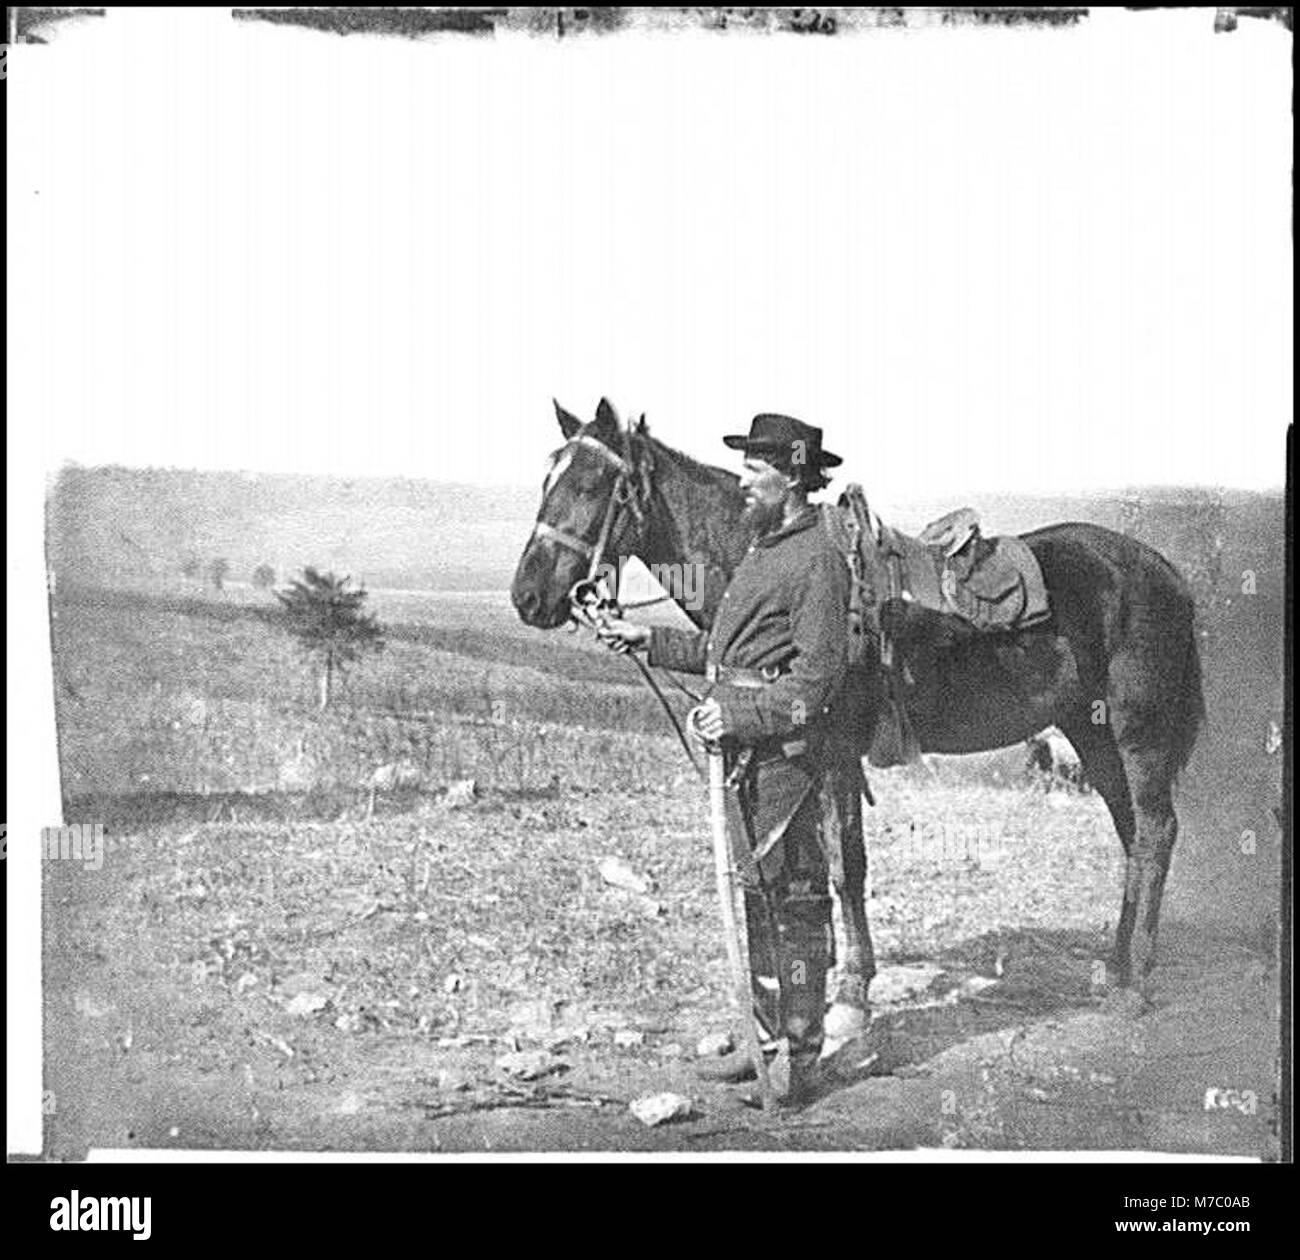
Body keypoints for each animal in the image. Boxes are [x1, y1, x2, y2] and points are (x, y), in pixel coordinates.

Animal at [510, 398, 1206, 1028]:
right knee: (1132, 835)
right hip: (1091, 734)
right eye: (547, 480)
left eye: (591, 484)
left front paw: (850, 991)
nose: (528, 596)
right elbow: (819, 866)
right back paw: (1114, 967)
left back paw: (1135, 983)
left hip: (1137, 736)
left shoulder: (837, 752)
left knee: (1155, 832)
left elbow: (847, 865)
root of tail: (1164, 572)